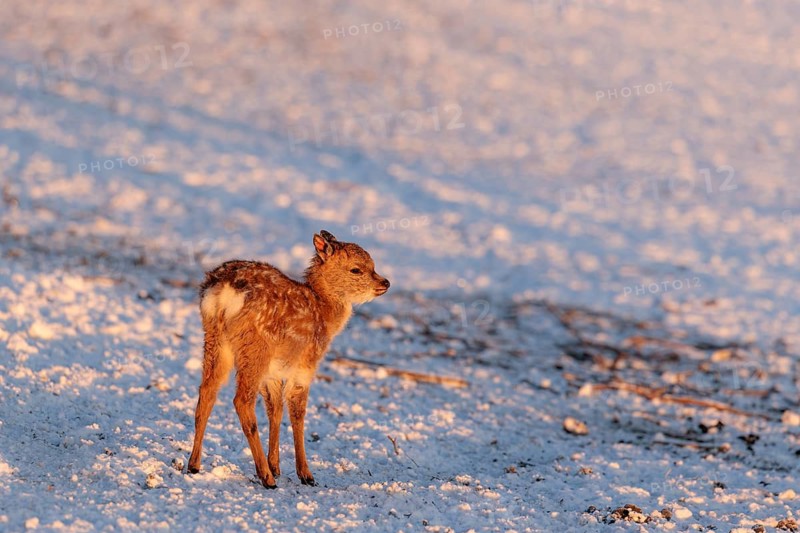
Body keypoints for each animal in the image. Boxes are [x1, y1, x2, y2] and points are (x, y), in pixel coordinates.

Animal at [187, 230, 390, 488]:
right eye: (357, 269)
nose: (384, 282)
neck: (323, 311)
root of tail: (222, 293)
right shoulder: (306, 362)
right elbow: (297, 409)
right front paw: (305, 474)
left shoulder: (273, 371)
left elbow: (275, 408)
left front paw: (276, 465)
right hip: (256, 347)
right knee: (241, 400)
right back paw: (266, 477)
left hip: (216, 340)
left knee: (207, 391)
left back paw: (194, 465)